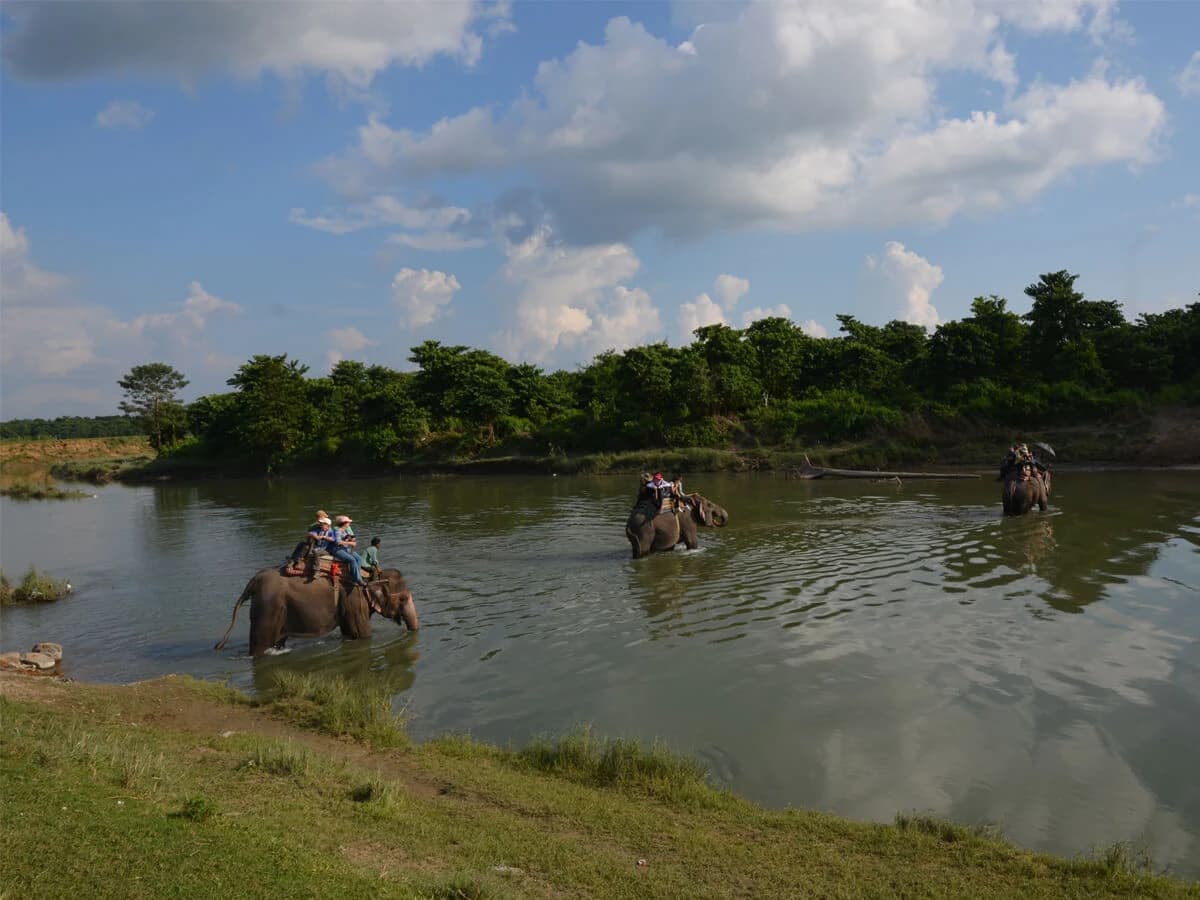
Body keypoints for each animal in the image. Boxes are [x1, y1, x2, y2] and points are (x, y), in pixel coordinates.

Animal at [214, 567, 419, 657]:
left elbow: (349, 633)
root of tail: (254, 581)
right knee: (260, 646)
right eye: (403, 598)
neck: (370, 576)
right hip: (267, 609)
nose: (412, 632)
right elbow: (363, 635)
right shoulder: (354, 600)